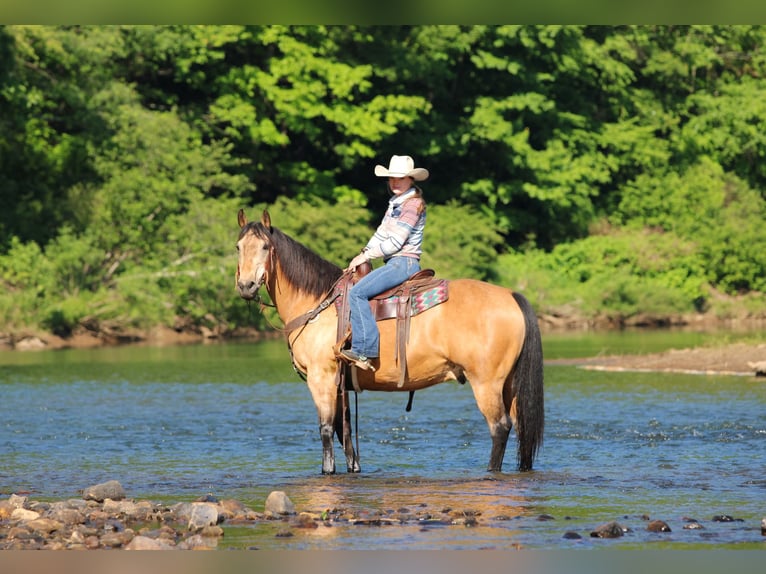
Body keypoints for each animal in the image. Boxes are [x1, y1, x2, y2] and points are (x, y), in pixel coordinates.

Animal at [236, 209, 544, 474]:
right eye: (238, 247)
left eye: (265, 247)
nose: (246, 286)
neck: (318, 303)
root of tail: (511, 296)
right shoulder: (340, 385)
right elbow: (344, 432)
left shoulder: (321, 377)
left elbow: (325, 430)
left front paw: (327, 471)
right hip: (509, 384)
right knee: (520, 426)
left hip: (486, 383)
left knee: (499, 427)